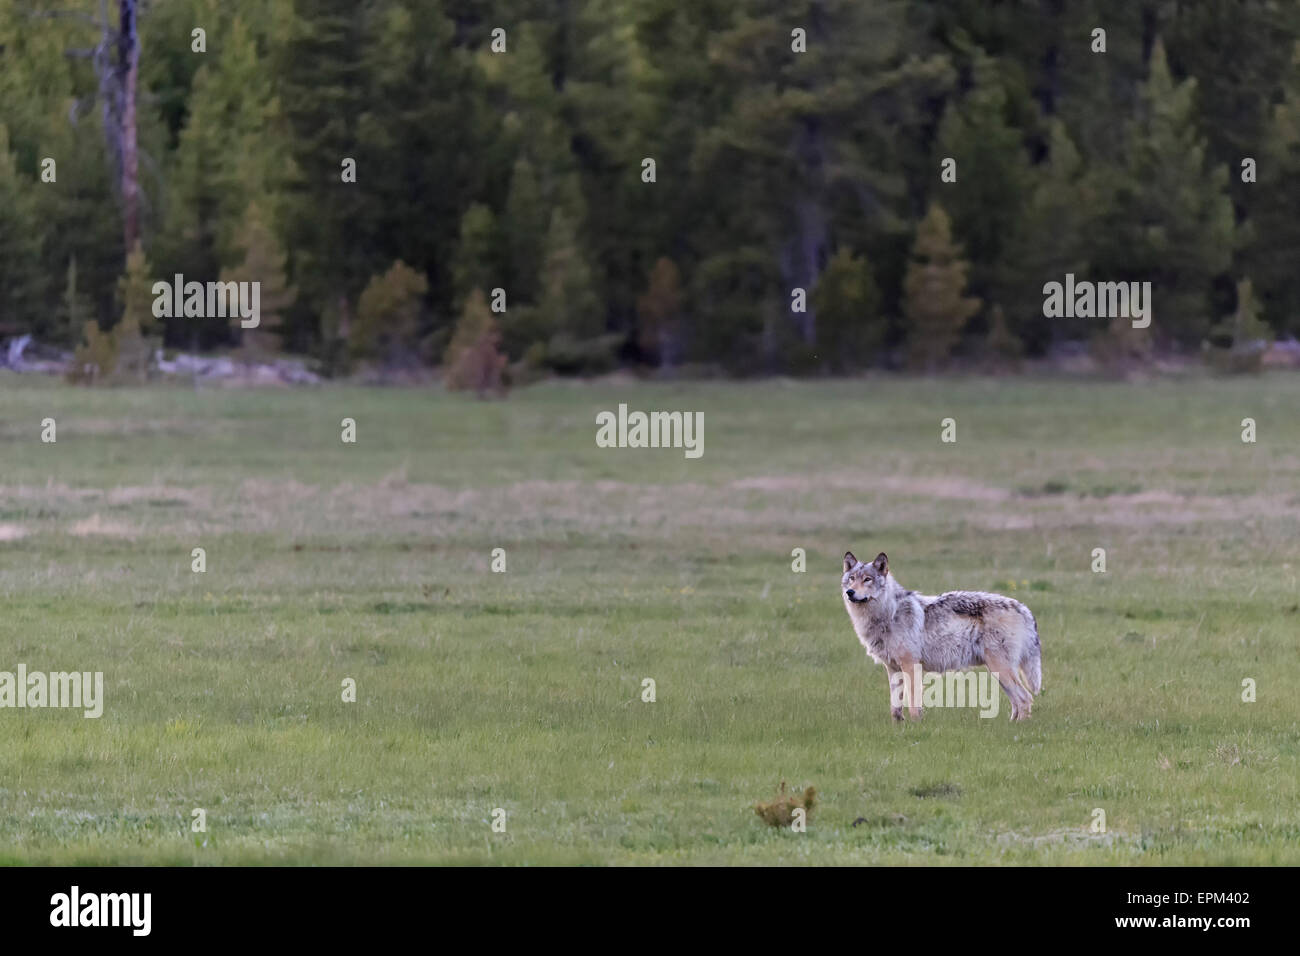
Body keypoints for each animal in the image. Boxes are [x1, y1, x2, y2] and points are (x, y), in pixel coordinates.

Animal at [840, 551, 1041, 721]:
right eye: (851, 579)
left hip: (1000, 669)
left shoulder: (910, 665)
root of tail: (1024, 608)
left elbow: (914, 705)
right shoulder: (892, 668)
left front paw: (915, 727)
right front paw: (898, 729)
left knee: (1024, 699)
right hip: (999, 673)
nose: (850, 592)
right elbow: (895, 709)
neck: (888, 613)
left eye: (867, 579)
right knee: (1018, 702)